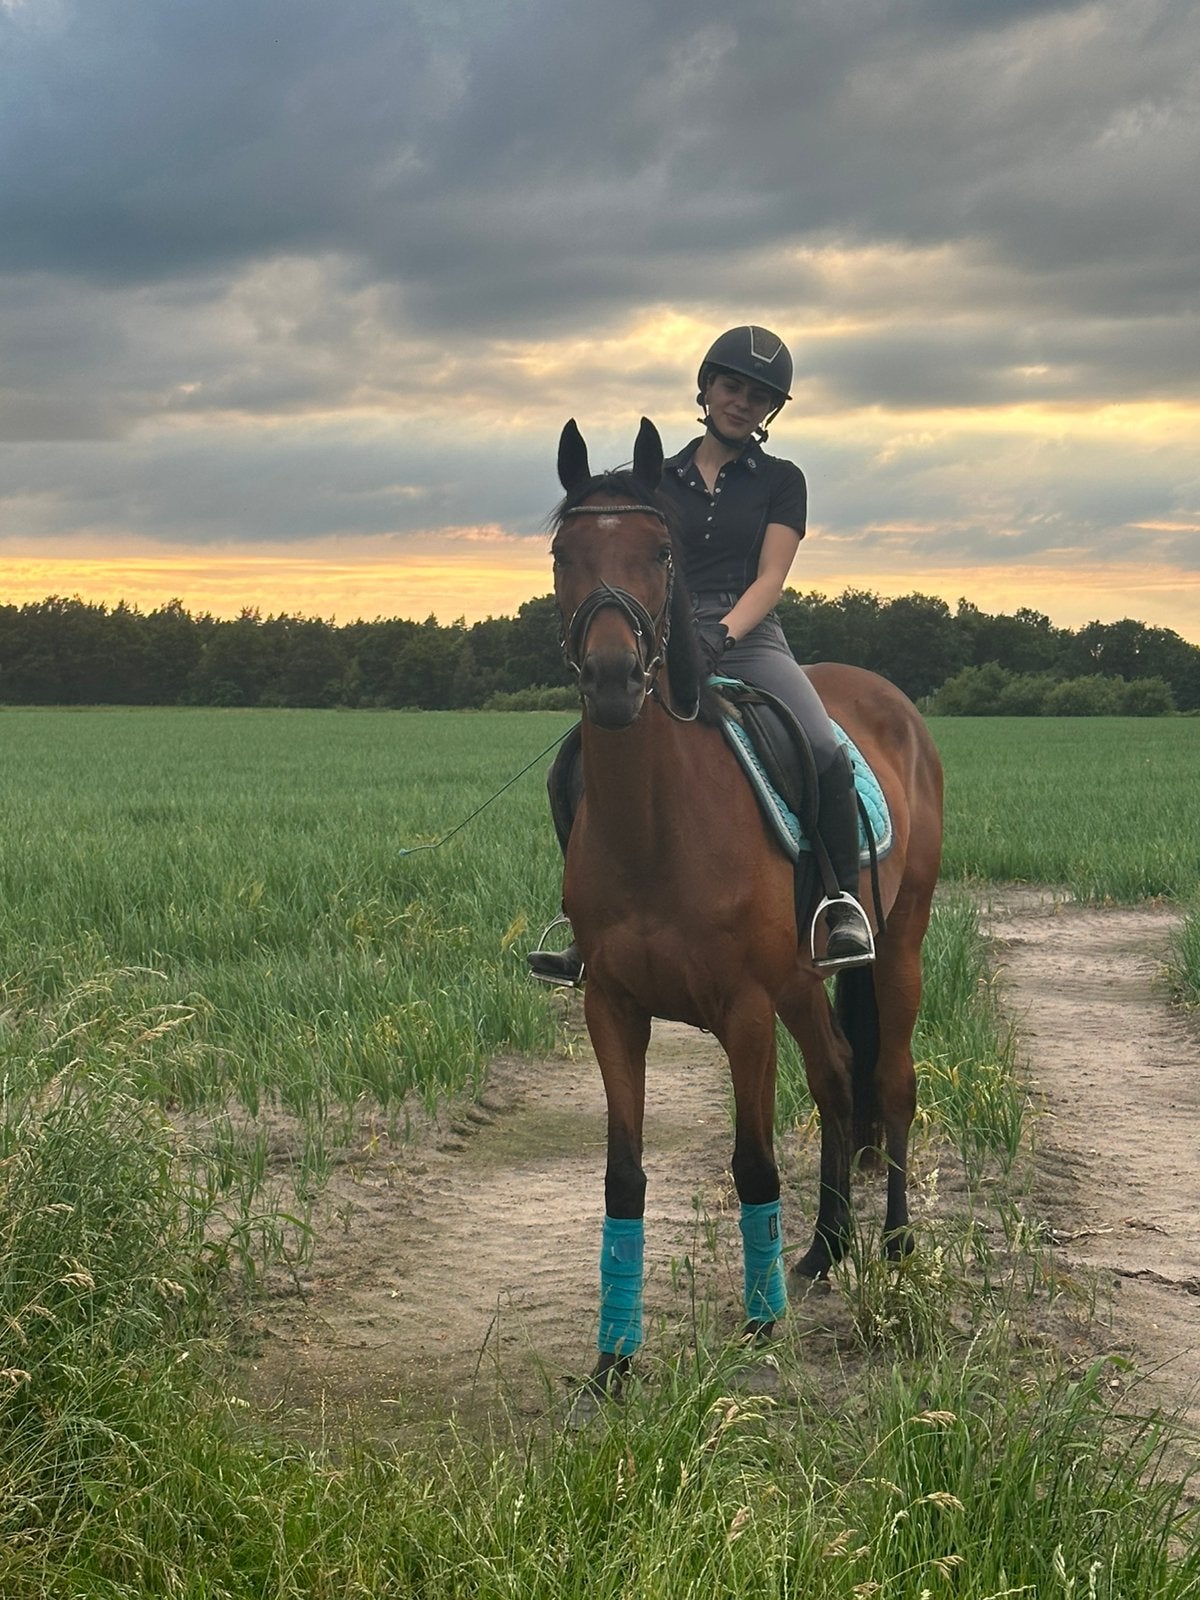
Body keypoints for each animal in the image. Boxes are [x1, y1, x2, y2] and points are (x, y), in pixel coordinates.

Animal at [548, 417, 944, 1400]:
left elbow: (753, 1162)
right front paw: (614, 1359)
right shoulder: (612, 1008)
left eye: (659, 552)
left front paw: (762, 1329)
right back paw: (826, 1250)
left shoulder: (744, 1011)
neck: (659, 821)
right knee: (839, 1075)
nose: (613, 679)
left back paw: (893, 1245)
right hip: (804, 983)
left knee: (891, 1081)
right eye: (563, 554)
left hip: (898, 948)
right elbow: (622, 1175)